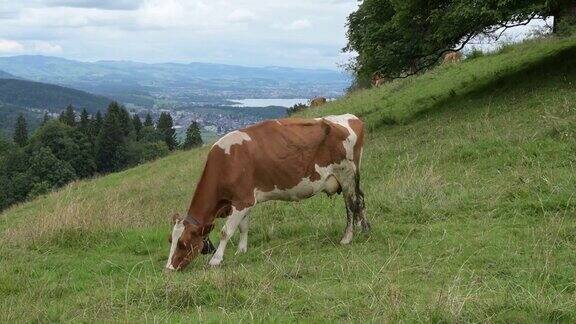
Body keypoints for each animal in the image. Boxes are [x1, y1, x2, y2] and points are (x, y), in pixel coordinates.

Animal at [165, 112, 368, 270]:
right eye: (170, 240)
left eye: (182, 243)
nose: (168, 269)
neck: (227, 163)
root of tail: (350, 118)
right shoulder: (244, 201)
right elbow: (243, 227)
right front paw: (241, 250)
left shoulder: (242, 201)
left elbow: (226, 231)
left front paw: (216, 260)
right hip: (352, 177)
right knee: (361, 199)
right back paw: (364, 229)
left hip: (346, 174)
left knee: (351, 204)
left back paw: (347, 238)